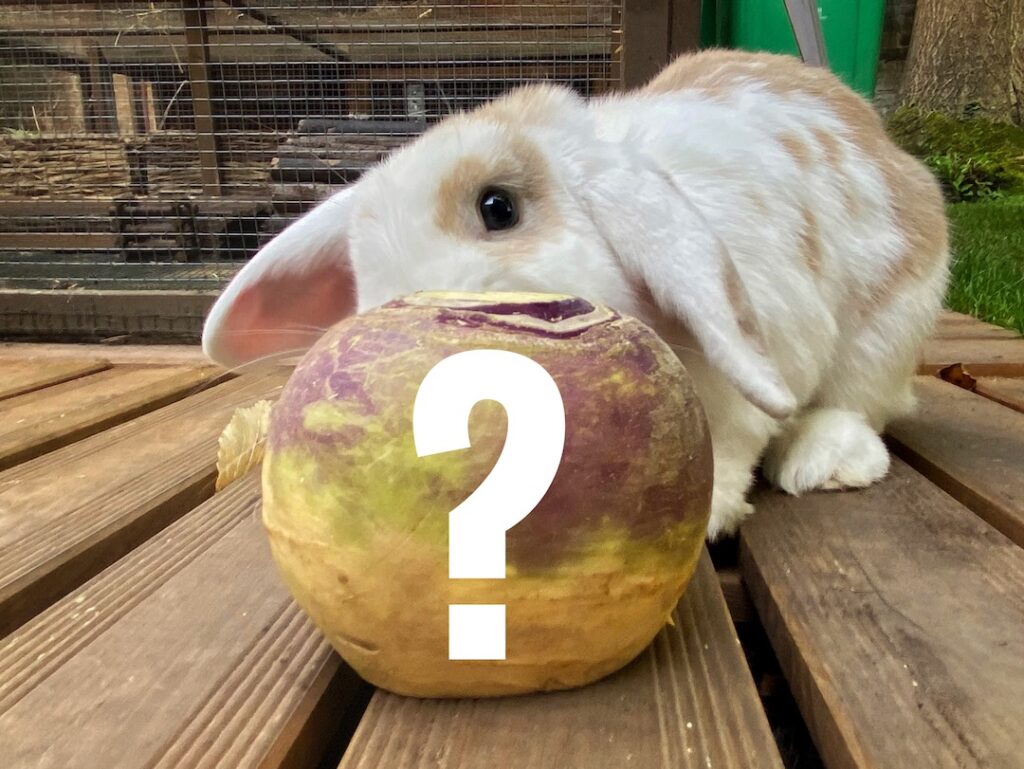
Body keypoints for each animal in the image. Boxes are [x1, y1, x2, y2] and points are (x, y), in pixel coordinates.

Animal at [202, 49, 950, 540]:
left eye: (498, 207)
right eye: (363, 271)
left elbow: (733, 438)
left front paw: (705, 514)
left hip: (888, 327)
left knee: (859, 403)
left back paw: (824, 460)